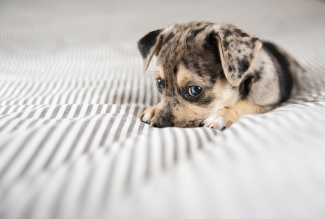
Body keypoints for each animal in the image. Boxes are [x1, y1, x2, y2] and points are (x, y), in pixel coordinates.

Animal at [137, 21, 304, 128]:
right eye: (159, 84)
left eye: (195, 90)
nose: (161, 124)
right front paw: (153, 109)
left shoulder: (267, 104)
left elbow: (244, 105)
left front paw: (220, 115)